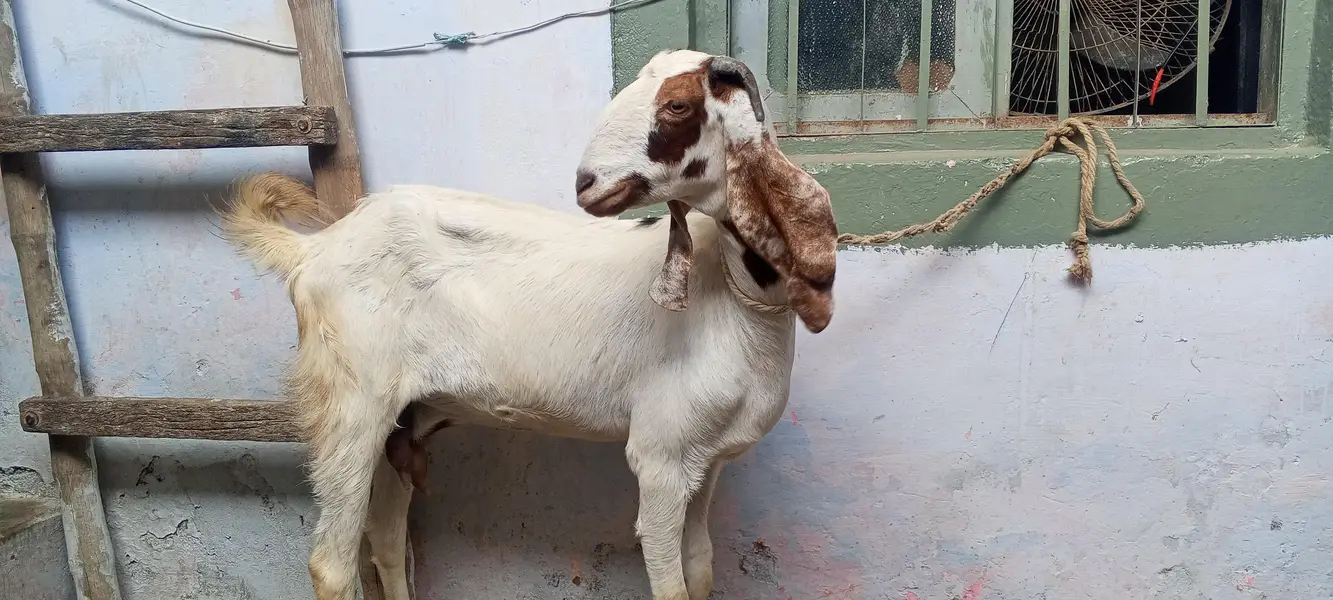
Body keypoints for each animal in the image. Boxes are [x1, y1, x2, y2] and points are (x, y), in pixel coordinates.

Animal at [219, 49, 837, 600]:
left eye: (678, 104)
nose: (586, 183)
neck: (734, 298)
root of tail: (312, 250)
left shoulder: (704, 462)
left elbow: (701, 570)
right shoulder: (659, 455)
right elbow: (672, 585)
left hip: (399, 423)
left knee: (389, 545)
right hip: (350, 406)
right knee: (332, 563)